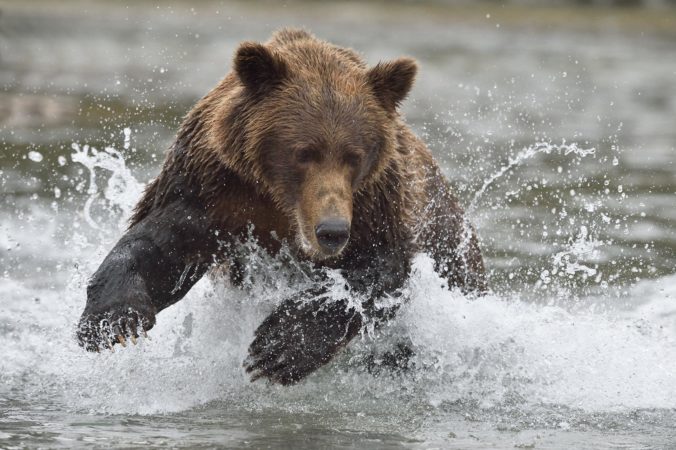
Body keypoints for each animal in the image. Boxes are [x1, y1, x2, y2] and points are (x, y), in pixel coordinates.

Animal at [76, 29, 484, 384]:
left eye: (353, 156)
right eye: (304, 152)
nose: (332, 231)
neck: (278, 200)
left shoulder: (377, 203)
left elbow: (381, 269)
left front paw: (278, 349)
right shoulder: (211, 189)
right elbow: (163, 248)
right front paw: (110, 320)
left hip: (455, 258)